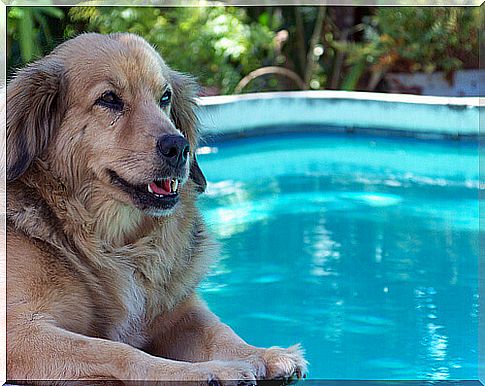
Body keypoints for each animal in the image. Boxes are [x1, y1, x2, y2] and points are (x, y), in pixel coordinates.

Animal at [4, 31, 306, 384]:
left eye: (165, 98)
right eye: (109, 99)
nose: (180, 147)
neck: (114, 243)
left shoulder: (177, 312)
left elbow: (219, 331)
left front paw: (263, 354)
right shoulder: (19, 331)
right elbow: (118, 351)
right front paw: (207, 371)